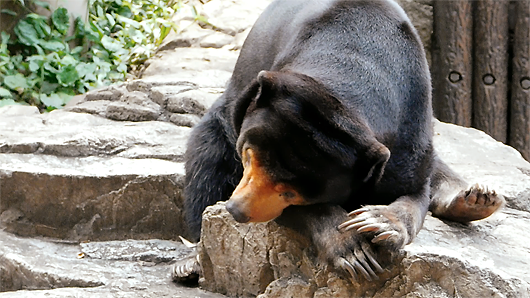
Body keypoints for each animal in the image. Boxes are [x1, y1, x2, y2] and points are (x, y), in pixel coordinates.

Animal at [174, 0, 504, 282]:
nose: (237, 210)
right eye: (248, 156)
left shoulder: (412, 118)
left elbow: (412, 189)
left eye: (290, 191)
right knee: (207, 164)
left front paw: (377, 221)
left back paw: (475, 198)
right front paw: (353, 250)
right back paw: (191, 262)